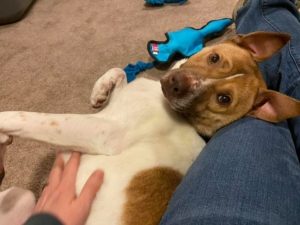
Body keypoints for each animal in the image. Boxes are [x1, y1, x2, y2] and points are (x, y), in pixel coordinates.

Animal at [0, 31, 300, 225]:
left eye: (223, 99)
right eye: (214, 58)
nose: (175, 84)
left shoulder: (104, 132)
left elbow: (29, 118)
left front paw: (4, 125)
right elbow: (118, 72)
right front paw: (100, 91)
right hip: (23, 196)